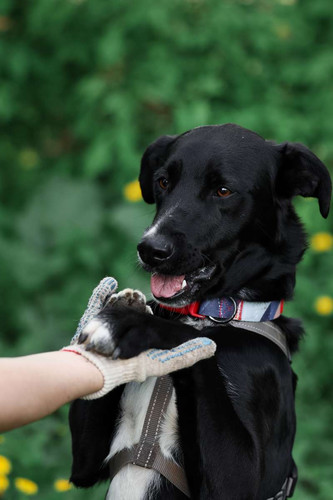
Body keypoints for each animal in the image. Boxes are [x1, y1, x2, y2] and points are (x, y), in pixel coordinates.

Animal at [68, 125, 330, 500]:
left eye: (223, 191)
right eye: (163, 182)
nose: (150, 249)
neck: (210, 314)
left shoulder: (240, 481)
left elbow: (190, 340)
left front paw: (127, 325)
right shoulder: (85, 463)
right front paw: (120, 307)